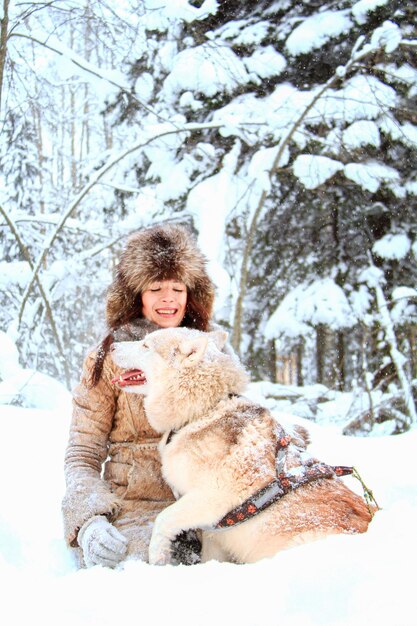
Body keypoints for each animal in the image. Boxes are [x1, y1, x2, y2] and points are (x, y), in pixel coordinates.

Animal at [111, 330, 374, 564]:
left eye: (145, 344)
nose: (111, 345)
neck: (202, 411)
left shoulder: (210, 500)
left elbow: (162, 520)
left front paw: (158, 557)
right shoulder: (215, 530)